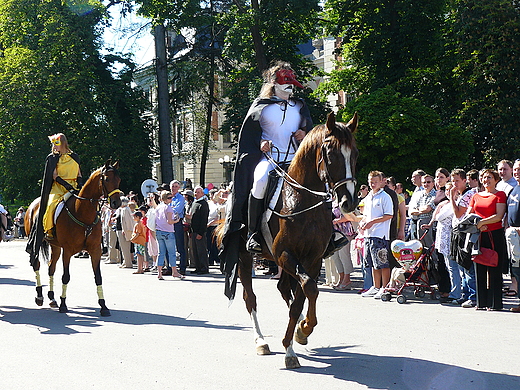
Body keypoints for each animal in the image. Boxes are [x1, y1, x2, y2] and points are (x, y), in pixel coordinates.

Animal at [24, 160, 122, 316]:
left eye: (119, 180)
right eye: (106, 179)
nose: (116, 203)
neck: (82, 211)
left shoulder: (95, 250)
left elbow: (98, 277)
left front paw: (103, 306)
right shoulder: (68, 251)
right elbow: (66, 276)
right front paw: (64, 304)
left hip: (55, 246)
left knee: (51, 267)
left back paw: (52, 298)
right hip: (37, 243)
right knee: (36, 264)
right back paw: (39, 296)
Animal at [218, 111, 358, 368]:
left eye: (355, 153)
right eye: (331, 154)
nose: (349, 202)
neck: (301, 200)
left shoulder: (311, 260)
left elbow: (302, 296)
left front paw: (299, 334)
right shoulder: (285, 255)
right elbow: (308, 289)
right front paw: (298, 335)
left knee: (285, 289)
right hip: (244, 257)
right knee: (250, 298)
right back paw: (261, 341)